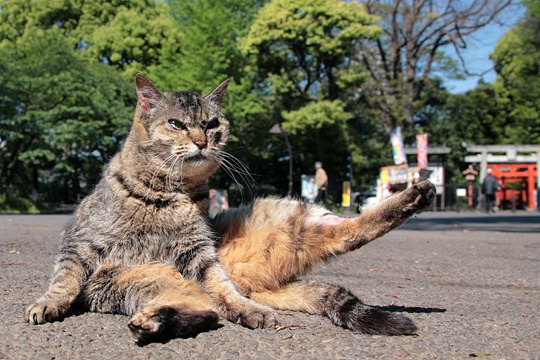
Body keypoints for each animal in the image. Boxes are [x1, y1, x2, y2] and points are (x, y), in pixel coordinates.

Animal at [25, 72, 436, 344]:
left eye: (211, 123)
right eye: (177, 124)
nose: (201, 141)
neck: (167, 193)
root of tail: (253, 280)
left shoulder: (199, 253)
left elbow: (221, 289)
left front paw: (248, 311)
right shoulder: (80, 242)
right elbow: (64, 279)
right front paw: (49, 304)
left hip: (293, 223)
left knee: (351, 230)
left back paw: (418, 193)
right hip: (142, 283)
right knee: (203, 310)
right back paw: (157, 322)